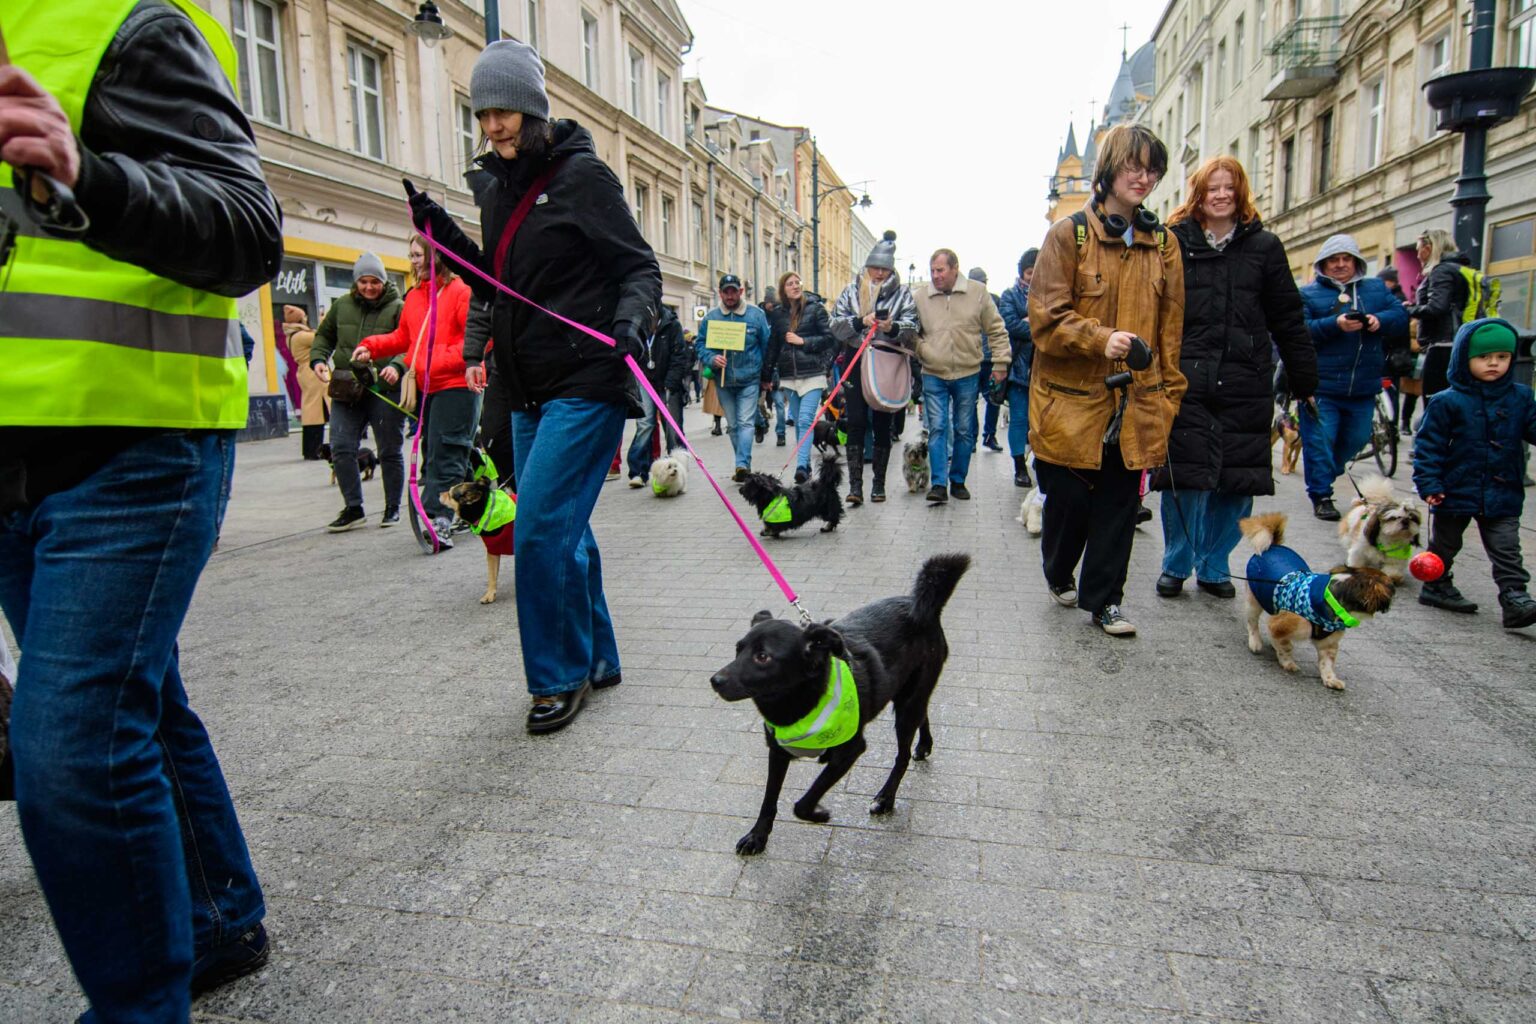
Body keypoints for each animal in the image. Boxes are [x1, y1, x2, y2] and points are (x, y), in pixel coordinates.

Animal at [709, 552, 970, 859]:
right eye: (738, 649)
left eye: (763, 656)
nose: (715, 680)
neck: (798, 700)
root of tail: (923, 607)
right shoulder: (778, 751)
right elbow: (768, 800)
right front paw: (757, 837)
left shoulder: (850, 750)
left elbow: (803, 802)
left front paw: (818, 814)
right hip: (909, 695)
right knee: (924, 714)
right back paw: (924, 746)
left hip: (908, 706)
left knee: (902, 755)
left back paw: (886, 798)